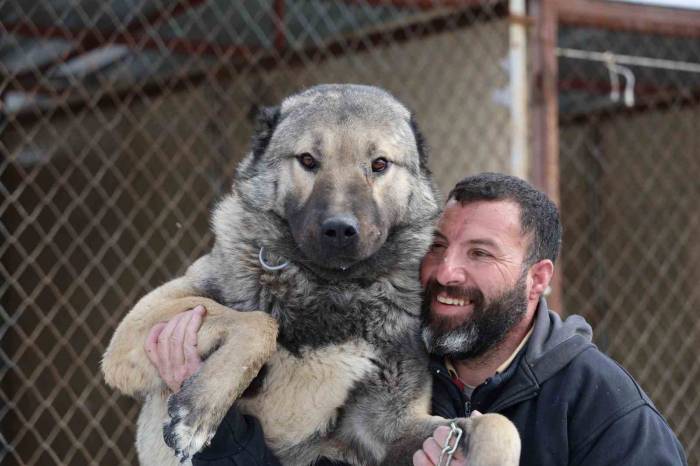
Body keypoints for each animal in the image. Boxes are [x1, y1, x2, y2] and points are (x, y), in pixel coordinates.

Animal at [102, 84, 520, 466]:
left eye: (379, 164)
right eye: (307, 159)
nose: (340, 229)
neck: (329, 290)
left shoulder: (392, 428)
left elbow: (499, 425)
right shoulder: (132, 334)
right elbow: (259, 324)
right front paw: (199, 410)